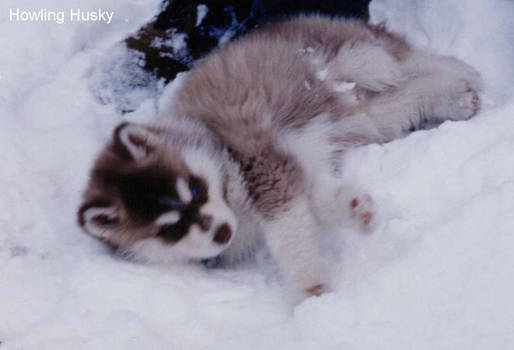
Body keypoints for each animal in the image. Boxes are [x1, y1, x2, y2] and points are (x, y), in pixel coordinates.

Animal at [77, 15, 480, 300]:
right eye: (171, 230)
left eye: (194, 188)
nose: (222, 232)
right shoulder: (293, 170)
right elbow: (319, 201)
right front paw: (354, 210)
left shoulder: (265, 166)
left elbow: (290, 235)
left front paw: (311, 289)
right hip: (371, 115)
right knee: (407, 96)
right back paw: (457, 98)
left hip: (359, 60)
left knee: (411, 62)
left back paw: (465, 74)